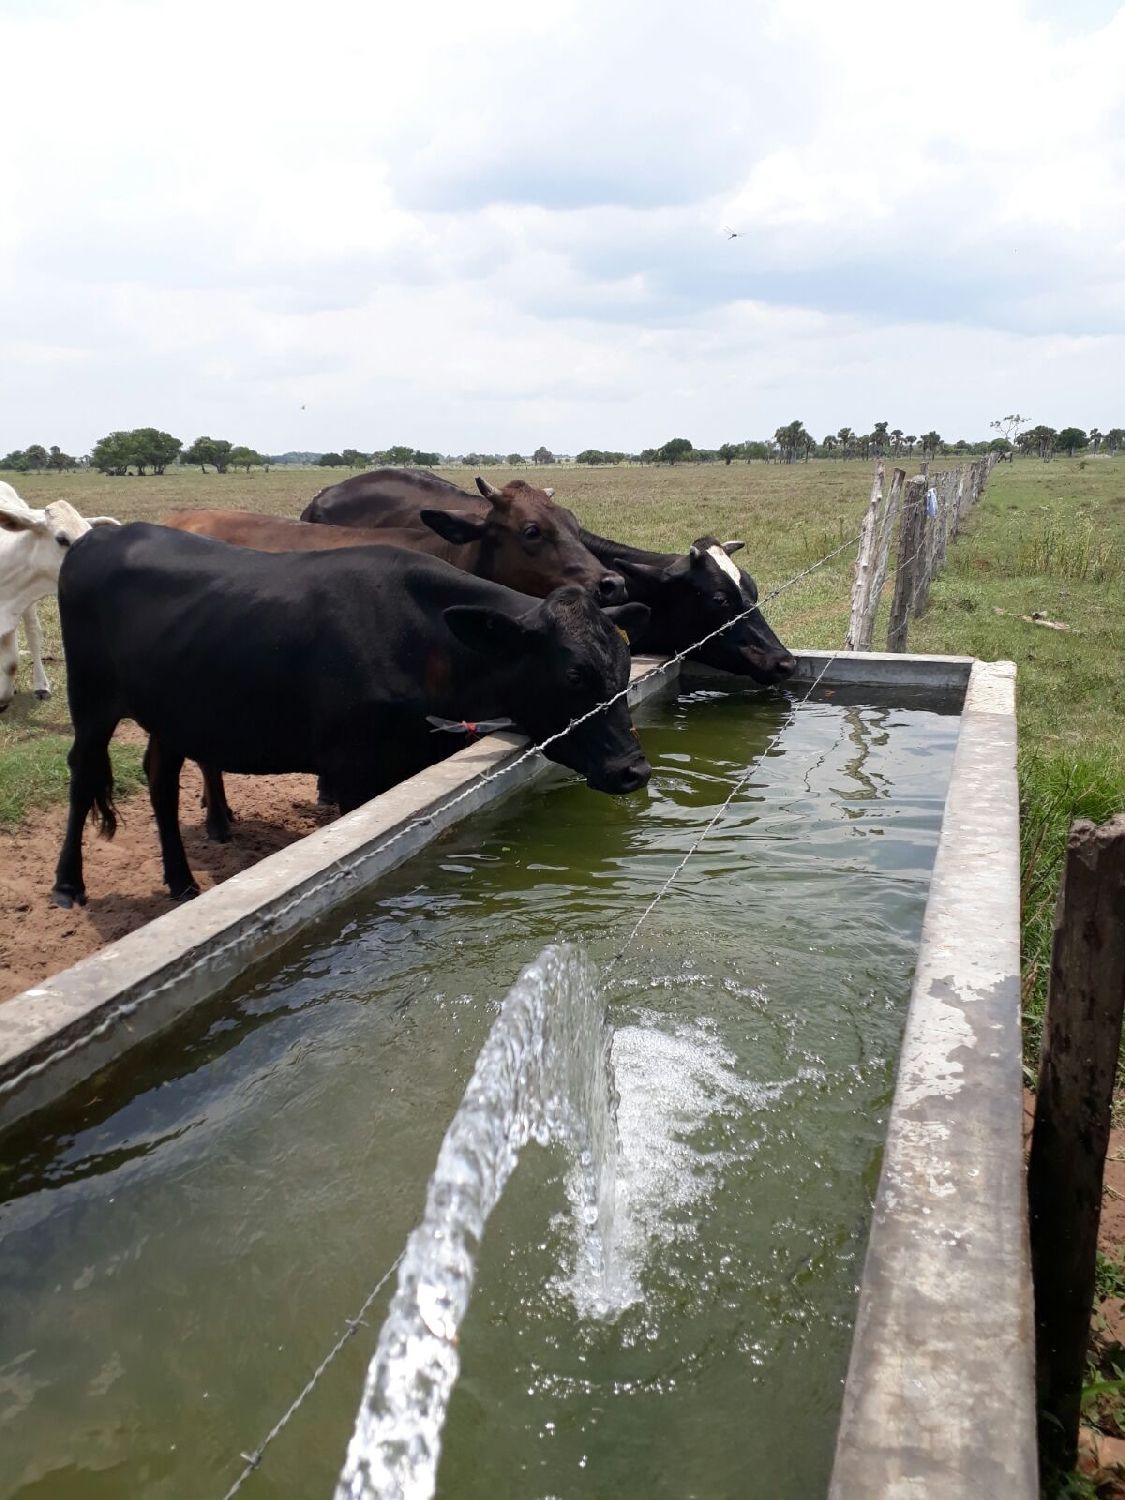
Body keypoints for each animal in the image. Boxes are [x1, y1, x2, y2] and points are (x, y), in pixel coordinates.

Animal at [50, 528, 651, 900]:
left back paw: (181, 881)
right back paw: (68, 885)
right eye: (574, 675)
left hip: (172, 708)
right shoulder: (353, 771)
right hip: (91, 697)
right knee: (82, 772)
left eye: (624, 667)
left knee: (160, 779)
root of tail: (100, 535)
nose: (634, 770)